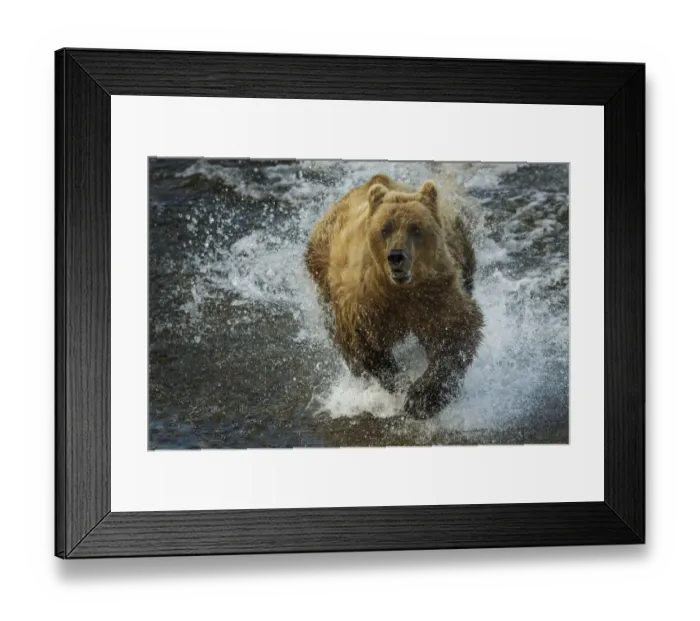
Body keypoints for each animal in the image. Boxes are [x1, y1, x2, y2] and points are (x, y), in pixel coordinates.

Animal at [305, 174, 483, 418]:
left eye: (415, 229)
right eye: (385, 229)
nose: (396, 256)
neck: (400, 290)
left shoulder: (434, 292)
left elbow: (454, 331)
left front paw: (422, 398)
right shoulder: (367, 301)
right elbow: (364, 342)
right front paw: (401, 384)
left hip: (460, 246)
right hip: (321, 268)